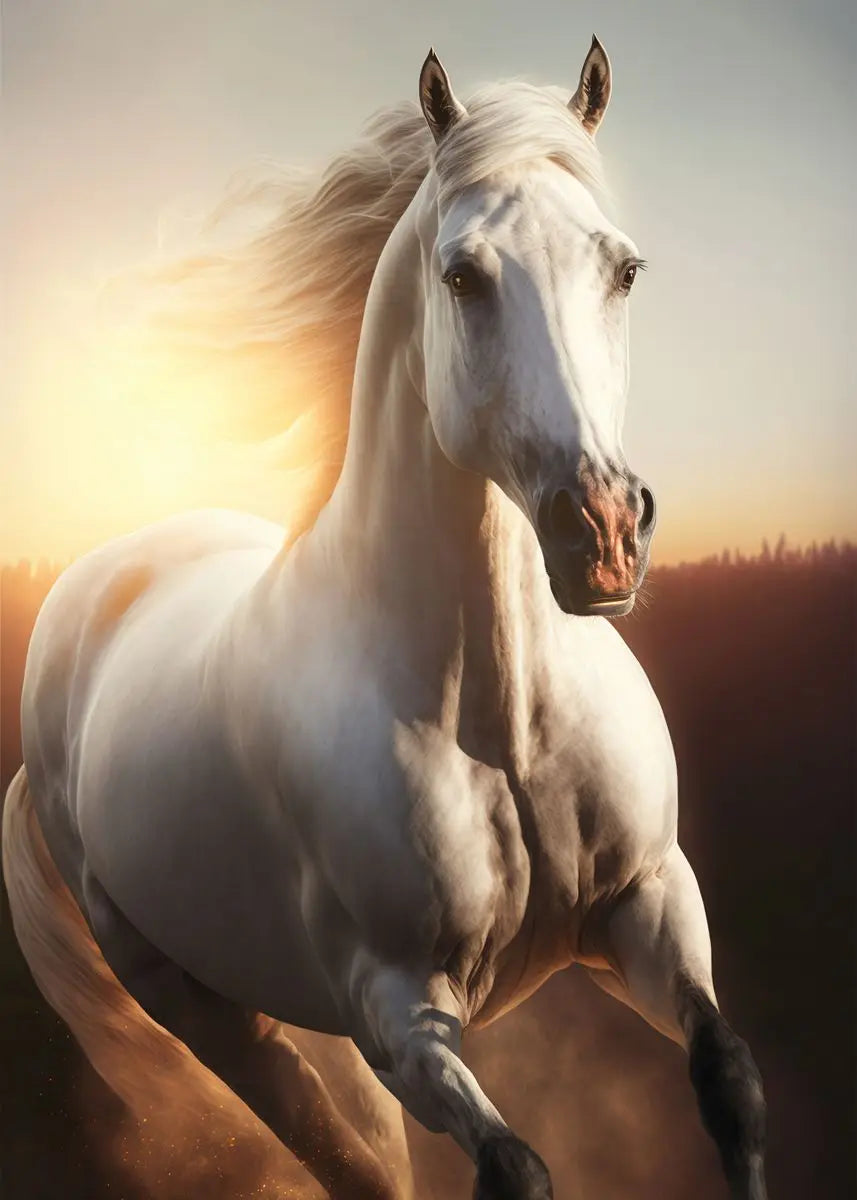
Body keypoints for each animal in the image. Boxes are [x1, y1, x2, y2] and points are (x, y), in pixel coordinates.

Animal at [3, 39, 768, 1200]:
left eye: (622, 269)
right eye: (462, 276)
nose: (600, 531)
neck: (498, 717)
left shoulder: (646, 903)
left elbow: (727, 1081)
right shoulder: (397, 1014)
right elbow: (515, 1167)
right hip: (184, 991)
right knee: (323, 1140)